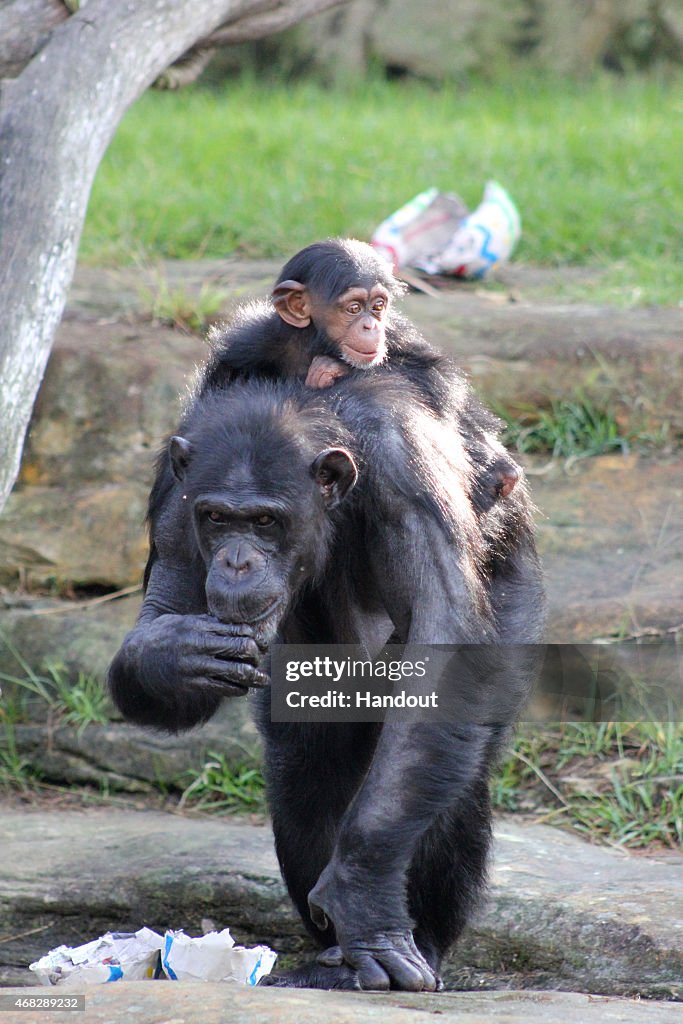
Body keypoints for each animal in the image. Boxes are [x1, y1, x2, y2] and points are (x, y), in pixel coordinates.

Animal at [108, 362, 544, 991]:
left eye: (265, 521)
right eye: (217, 518)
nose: (236, 561)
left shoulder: (406, 470)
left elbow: (445, 635)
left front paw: (361, 896)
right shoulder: (176, 504)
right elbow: (163, 621)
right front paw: (173, 653)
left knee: (443, 758)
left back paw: (422, 941)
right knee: (309, 761)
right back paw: (334, 954)